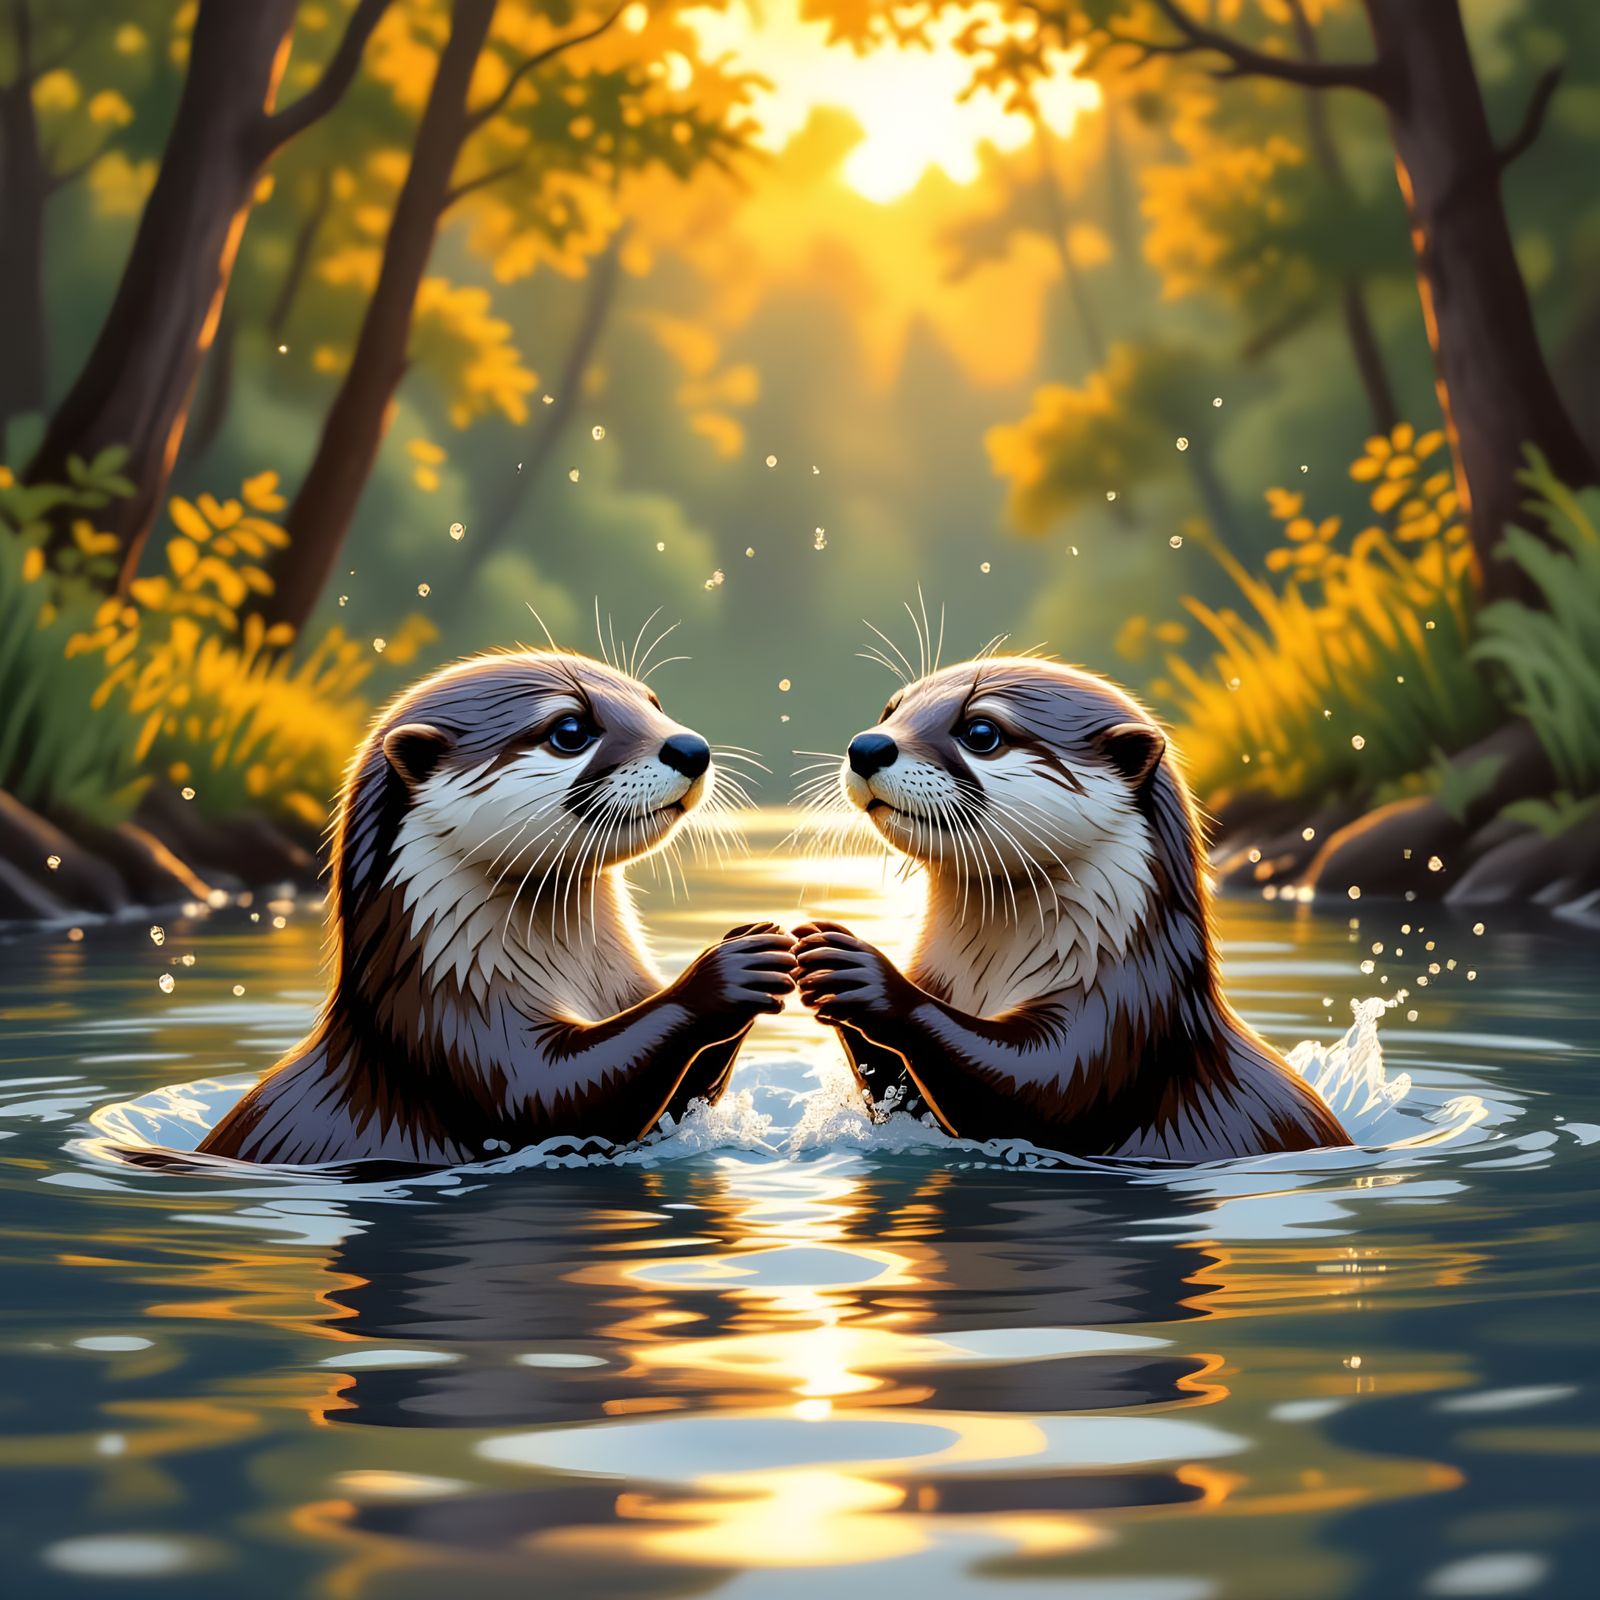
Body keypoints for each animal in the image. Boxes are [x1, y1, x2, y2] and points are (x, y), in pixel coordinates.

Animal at [200, 650, 798, 1167]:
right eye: (570, 731)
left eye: (652, 702)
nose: (691, 748)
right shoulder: (452, 1034)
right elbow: (550, 1098)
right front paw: (725, 972)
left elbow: (685, 1098)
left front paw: (757, 939)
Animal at [794, 656, 1349, 1161]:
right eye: (892, 710)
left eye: (981, 731)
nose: (867, 746)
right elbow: (900, 1097)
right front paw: (819, 950)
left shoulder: (1122, 1019)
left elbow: (1040, 1089)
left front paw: (868, 975)